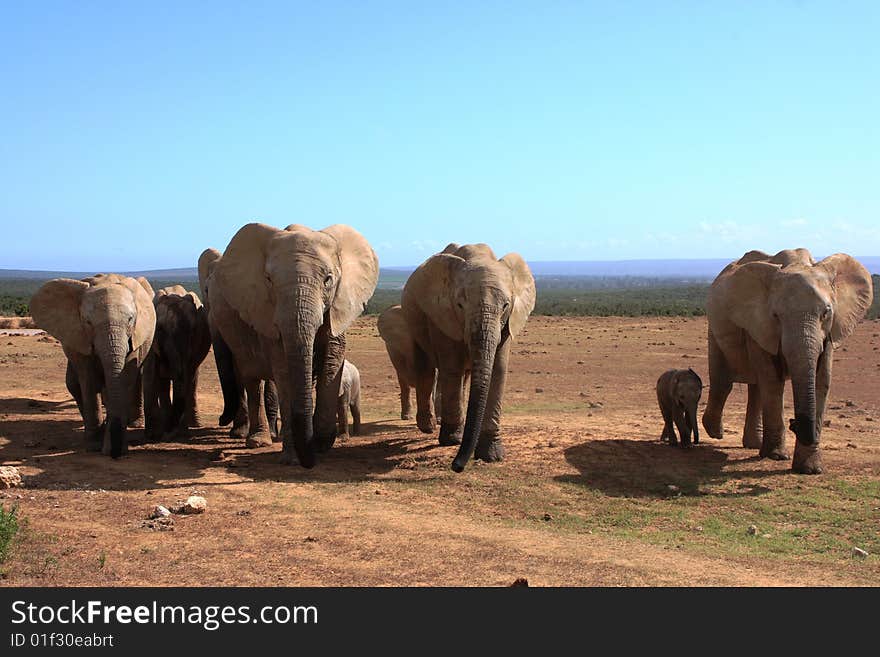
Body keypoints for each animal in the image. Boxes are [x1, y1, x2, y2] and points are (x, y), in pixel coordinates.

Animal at [30, 272, 158, 456]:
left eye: (130, 319)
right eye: (88, 322)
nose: (114, 454)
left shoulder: (136, 335)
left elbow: (125, 377)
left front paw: (116, 445)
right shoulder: (79, 335)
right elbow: (88, 380)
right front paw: (95, 445)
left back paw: (134, 424)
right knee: (74, 384)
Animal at [146, 284, 213, 438]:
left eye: (192, 331)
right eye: (160, 330)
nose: (170, 431)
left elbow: (185, 379)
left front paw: (179, 431)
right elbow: (156, 379)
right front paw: (161, 431)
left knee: (192, 380)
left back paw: (192, 425)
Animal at [213, 224, 382, 466]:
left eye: (328, 279)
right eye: (268, 279)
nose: (309, 460)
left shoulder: (339, 306)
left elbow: (332, 360)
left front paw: (322, 443)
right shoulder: (267, 314)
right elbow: (284, 370)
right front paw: (294, 458)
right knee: (252, 380)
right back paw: (258, 441)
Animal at [400, 241, 536, 472]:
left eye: (506, 306)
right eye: (460, 305)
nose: (457, 466)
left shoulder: (508, 323)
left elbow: (498, 371)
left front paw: (492, 455)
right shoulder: (442, 315)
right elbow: (451, 368)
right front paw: (452, 440)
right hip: (413, 319)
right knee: (426, 370)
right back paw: (428, 427)